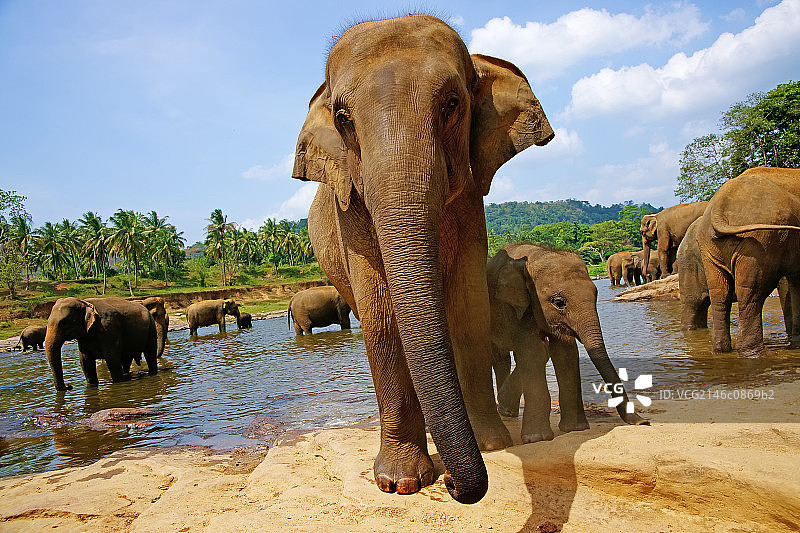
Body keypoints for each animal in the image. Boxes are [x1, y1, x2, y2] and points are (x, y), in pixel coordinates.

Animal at [294, 15, 553, 503]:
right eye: (343, 118)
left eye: (452, 104)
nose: (451, 483)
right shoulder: (349, 207)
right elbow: (379, 316)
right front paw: (400, 483)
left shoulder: (470, 199)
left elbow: (468, 307)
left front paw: (491, 445)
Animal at [488, 244, 647, 444]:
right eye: (558, 302)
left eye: (596, 295)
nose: (643, 422)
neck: (538, 254)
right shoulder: (518, 309)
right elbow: (532, 352)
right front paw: (538, 438)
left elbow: (565, 353)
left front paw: (575, 429)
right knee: (502, 358)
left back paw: (507, 410)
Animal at [695, 167, 800, 356]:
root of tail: (719, 205)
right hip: (761, 241)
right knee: (752, 291)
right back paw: (761, 354)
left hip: (709, 246)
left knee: (719, 292)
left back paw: (721, 351)